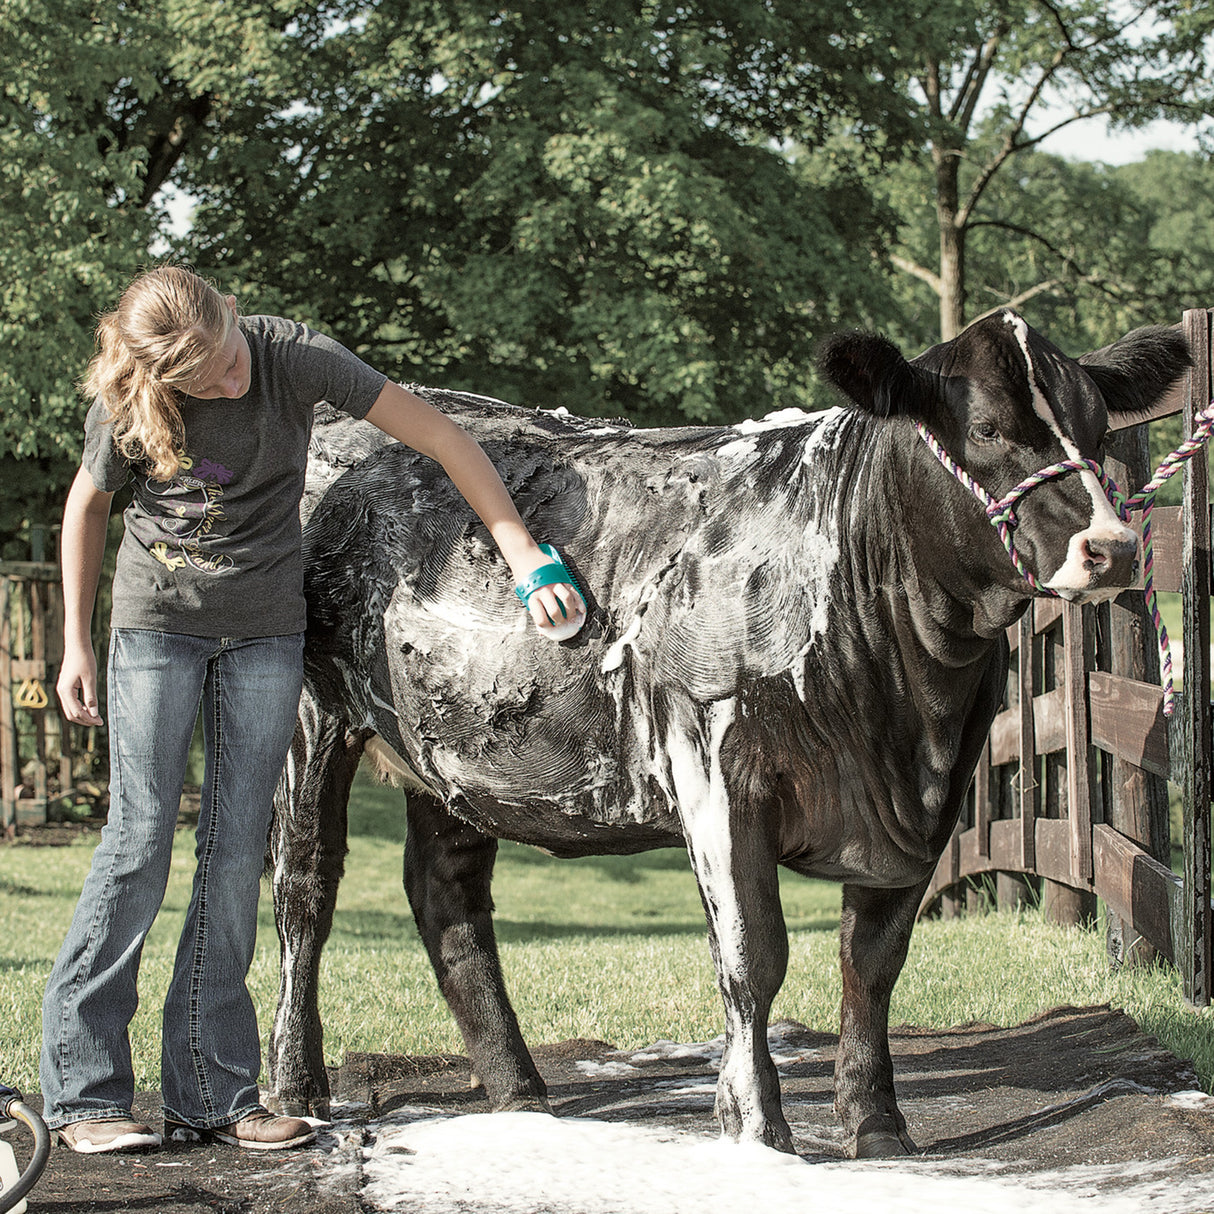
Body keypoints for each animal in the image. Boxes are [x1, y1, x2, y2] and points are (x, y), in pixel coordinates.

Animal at [265, 310, 1184, 1155]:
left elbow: (873, 961)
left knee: (446, 897)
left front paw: (877, 1125)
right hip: (310, 716)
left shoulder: (933, 798)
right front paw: (756, 1127)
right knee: (303, 888)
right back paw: (295, 1087)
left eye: (1098, 430)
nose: (1112, 545)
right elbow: (754, 956)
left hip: (457, 748)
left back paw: (520, 1095)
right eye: (989, 428)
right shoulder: (715, 765)